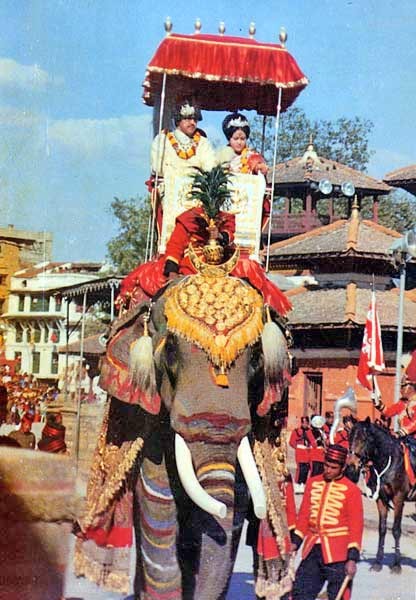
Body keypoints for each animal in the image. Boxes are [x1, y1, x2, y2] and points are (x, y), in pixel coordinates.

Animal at [348, 417, 416, 573]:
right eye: (349, 437)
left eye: (364, 439)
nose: (351, 468)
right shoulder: (380, 499)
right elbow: (382, 529)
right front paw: (378, 562)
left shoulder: (398, 498)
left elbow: (396, 530)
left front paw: (396, 565)